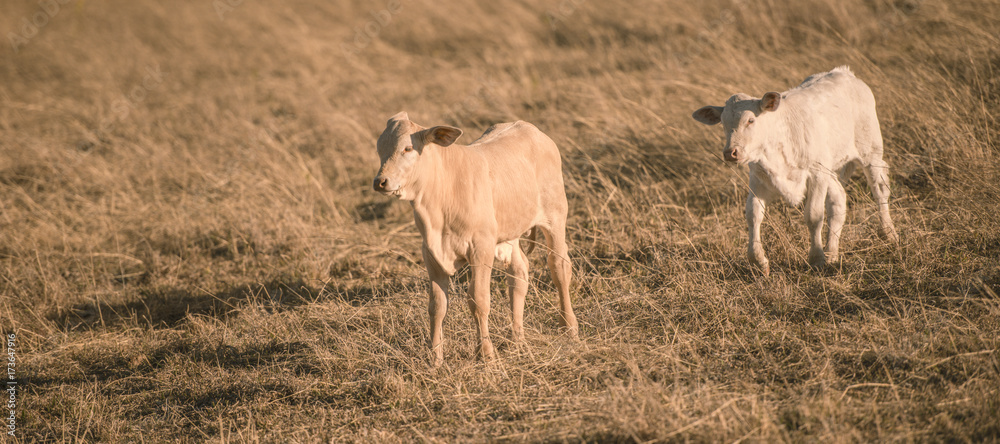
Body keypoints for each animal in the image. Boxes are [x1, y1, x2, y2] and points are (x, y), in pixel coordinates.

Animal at [374, 111, 580, 364]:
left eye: (408, 148)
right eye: (380, 148)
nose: (380, 181)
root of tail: (532, 129)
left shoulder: (481, 248)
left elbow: (478, 300)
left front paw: (486, 354)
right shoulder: (431, 253)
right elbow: (437, 305)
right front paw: (435, 358)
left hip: (555, 216)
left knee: (559, 267)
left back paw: (569, 328)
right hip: (510, 230)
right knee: (519, 274)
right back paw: (517, 339)